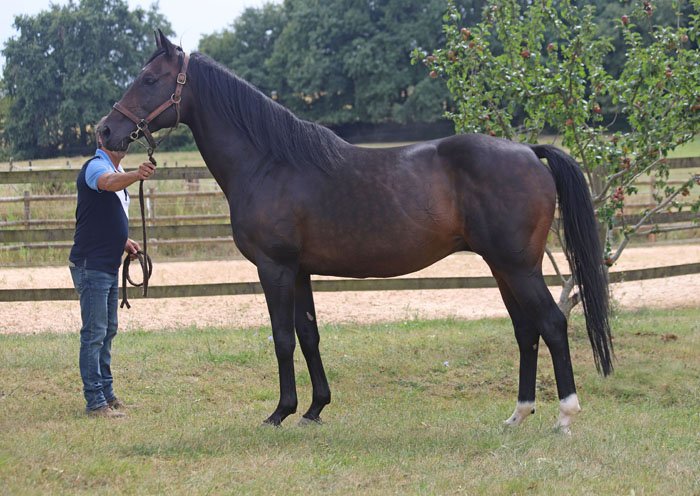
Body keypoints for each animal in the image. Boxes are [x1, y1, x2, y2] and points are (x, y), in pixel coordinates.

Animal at [100, 31, 613, 432]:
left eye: (149, 79)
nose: (106, 131)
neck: (269, 163)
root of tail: (528, 151)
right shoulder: (299, 271)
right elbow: (308, 335)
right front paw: (314, 410)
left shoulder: (274, 268)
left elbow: (282, 337)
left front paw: (279, 413)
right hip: (503, 267)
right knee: (526, 330)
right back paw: (518, 414)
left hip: (518, 266)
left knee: (552, 323)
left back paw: (564, 415)